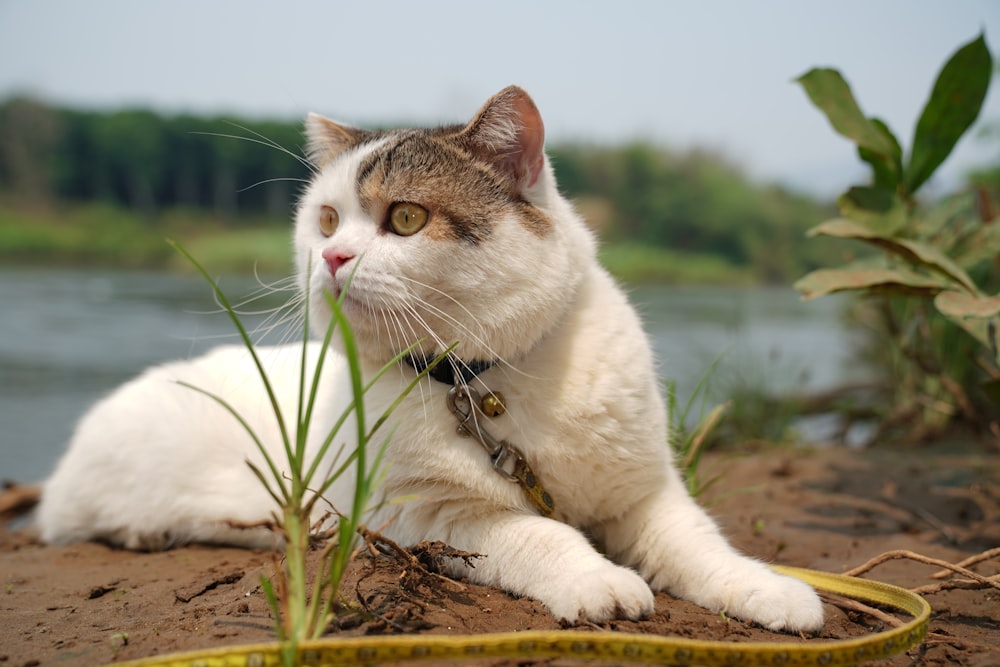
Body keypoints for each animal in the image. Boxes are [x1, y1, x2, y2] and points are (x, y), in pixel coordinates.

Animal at [35, 85, 824, 632]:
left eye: (407, 218)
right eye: (326, 220)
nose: (332, 257)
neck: (487, 379)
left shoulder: (645, 494)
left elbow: (700, 543)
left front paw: (771, 590)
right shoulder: (427, 516)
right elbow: (538, 533)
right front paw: (598, 580)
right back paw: (145, 528)